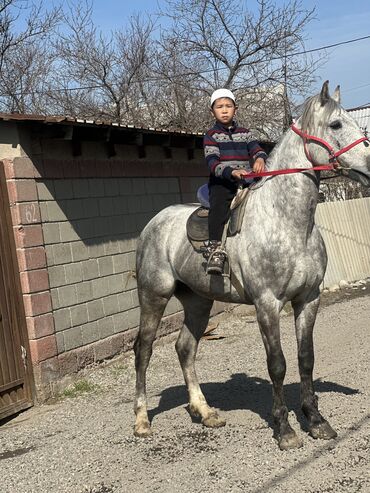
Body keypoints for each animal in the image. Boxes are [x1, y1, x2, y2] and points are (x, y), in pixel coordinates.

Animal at [133, 82, 370, 448]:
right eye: (335, 124)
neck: (287, 223)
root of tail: (152, 225)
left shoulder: (308, 299)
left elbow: (306, 359)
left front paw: (316, 421)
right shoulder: (267, 304)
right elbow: (277, 364)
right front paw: (284, 429)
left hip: (198, 301)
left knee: (185, 348)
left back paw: (205, 412)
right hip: (154, 297)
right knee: (143, 350)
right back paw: (142, 421)